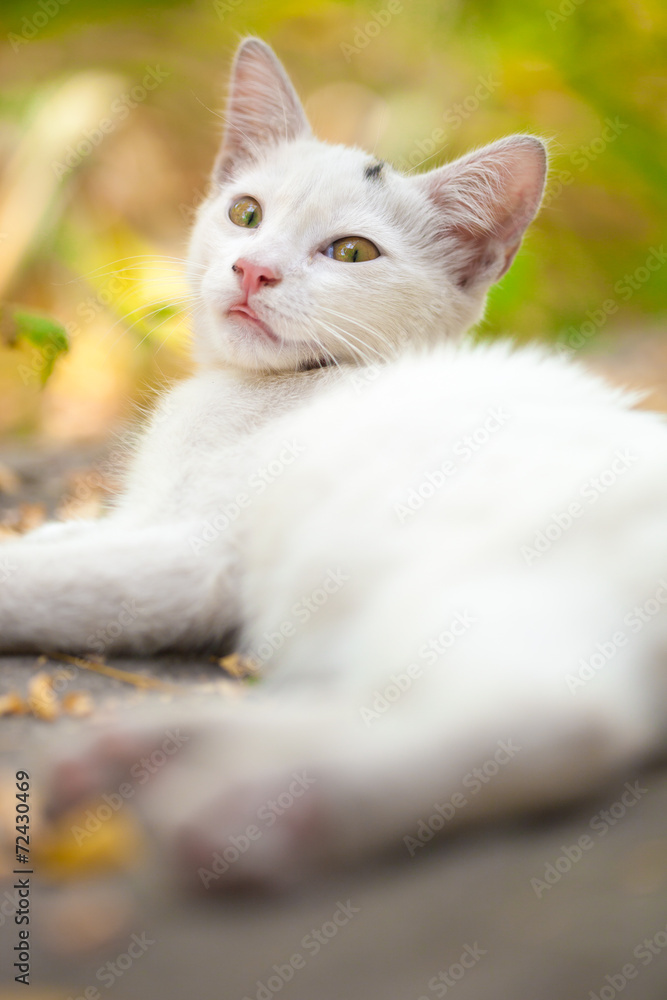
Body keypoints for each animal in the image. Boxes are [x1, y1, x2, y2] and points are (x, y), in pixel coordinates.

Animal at [3, 37, 667, 884]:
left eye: (351, 251)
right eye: (245, 213)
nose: (254, 269)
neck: (255, 391)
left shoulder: (197, 559)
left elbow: (51, 580)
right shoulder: (152, 515)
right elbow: (78, 538)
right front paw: (54, 532)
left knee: (553, 717)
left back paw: (267, 810)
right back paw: (157, 751)